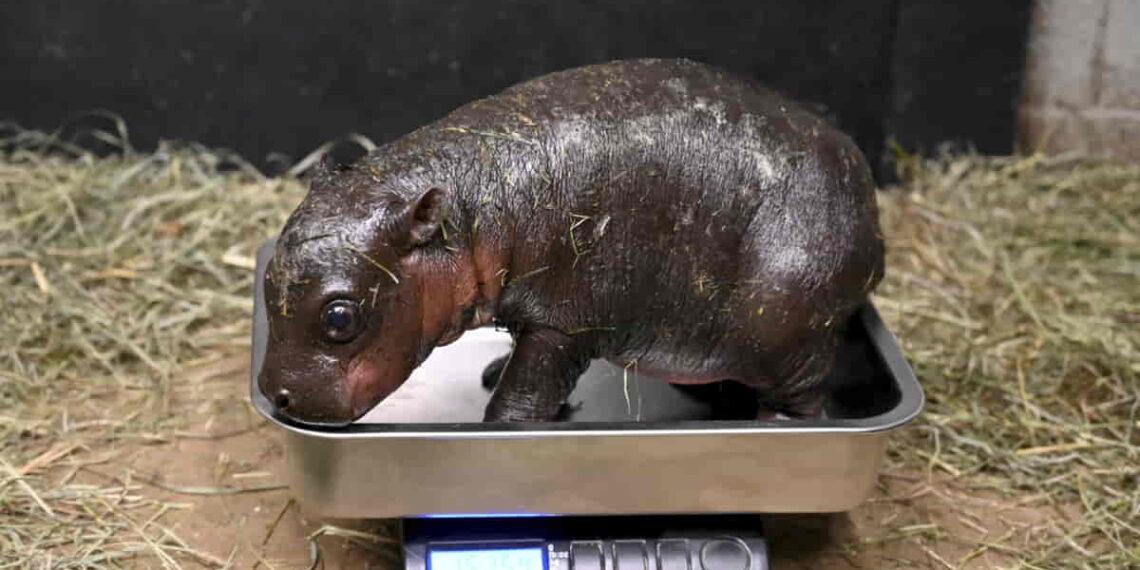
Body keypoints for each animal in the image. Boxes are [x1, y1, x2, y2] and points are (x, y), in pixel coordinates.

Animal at [258, 58, 884, 426]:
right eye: (266, 283)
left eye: (340, 317)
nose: (273, 395)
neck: (470, 204)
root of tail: (870, 212)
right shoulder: (538, 315)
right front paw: (493, 371)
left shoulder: (562, 324)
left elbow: (525, 395)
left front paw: (502, 422)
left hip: (786, 330)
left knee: (805, 398)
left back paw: (776, 426)